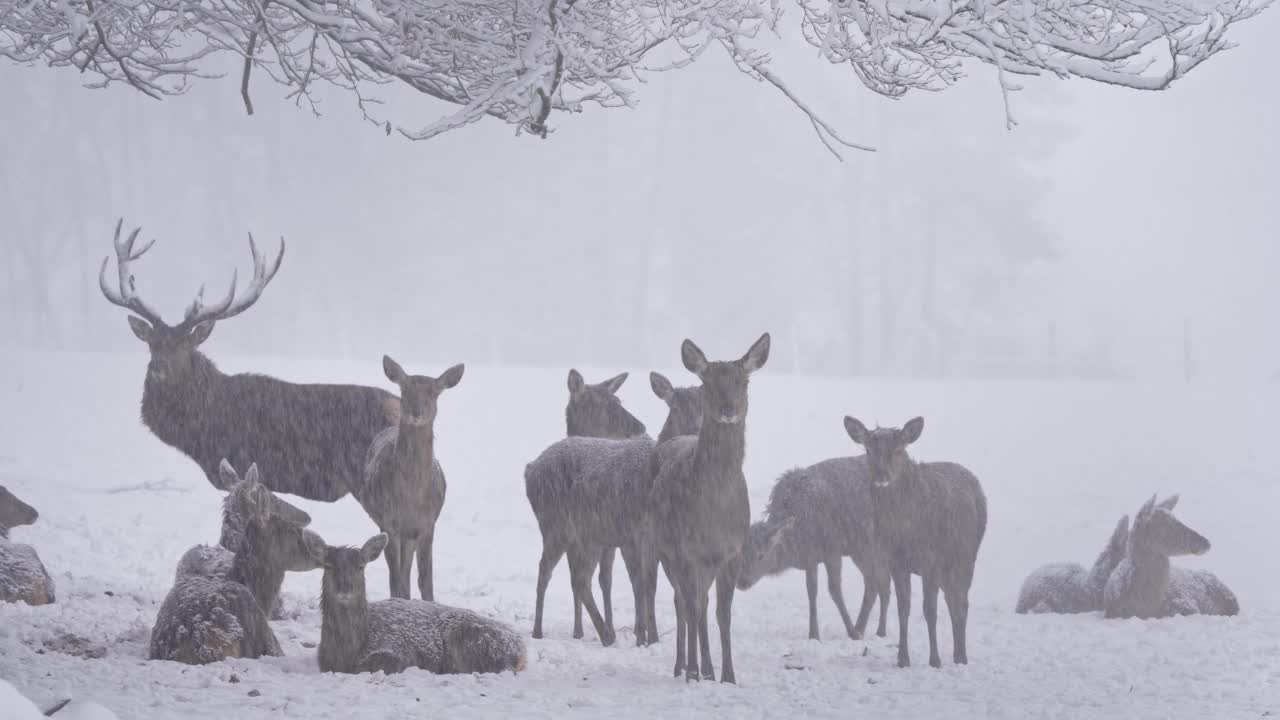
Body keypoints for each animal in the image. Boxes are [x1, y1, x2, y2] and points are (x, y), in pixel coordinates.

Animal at [353, 353, 463, 599]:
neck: (411, 497)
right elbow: (396, 581)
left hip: (410, 535)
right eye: (404, 389)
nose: (416, 412)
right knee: (399, 574)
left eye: (434, 392)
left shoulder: (428, 524)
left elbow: (426, 580)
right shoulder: (389, 521)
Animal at [640, 333, 768, 681]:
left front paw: (728, 676)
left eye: (744, 381)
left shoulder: (732, 552)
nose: (728, 408)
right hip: (658, 546)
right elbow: (692, 607)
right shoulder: (686, 550)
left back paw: (704, 668)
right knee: (678, 601)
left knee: (700, 603)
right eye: (707, 381)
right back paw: (682, 666)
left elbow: (723, 614)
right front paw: (695, 671)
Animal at [844, 415, 983, 666]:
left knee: (962, 602)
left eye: (899, 449)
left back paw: (961, 656)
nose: (882, 476)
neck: (904, 533)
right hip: (948, 568)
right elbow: (903, 608)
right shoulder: (896, 563)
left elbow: (929, 610)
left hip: (967, 558)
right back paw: (957, 653)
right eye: (868, 449)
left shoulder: (931, 560)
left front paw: (935, 660)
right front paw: (903, 659)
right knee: (953, 600)